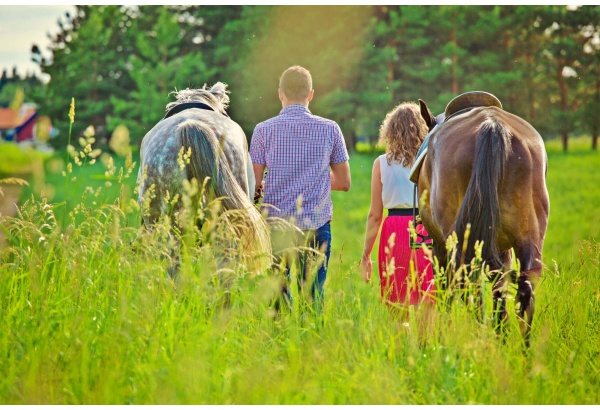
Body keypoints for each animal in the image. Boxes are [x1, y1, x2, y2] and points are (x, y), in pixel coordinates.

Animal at [412, 93, 548, 346]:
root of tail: (492, 127)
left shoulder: (441, 245)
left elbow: (447, 288)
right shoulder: (502, 249)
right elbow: (499, 288)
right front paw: (500, 331)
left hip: (460, 243)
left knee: (469, 287)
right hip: (528, 237)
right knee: (525, 289)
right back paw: (522, 352)